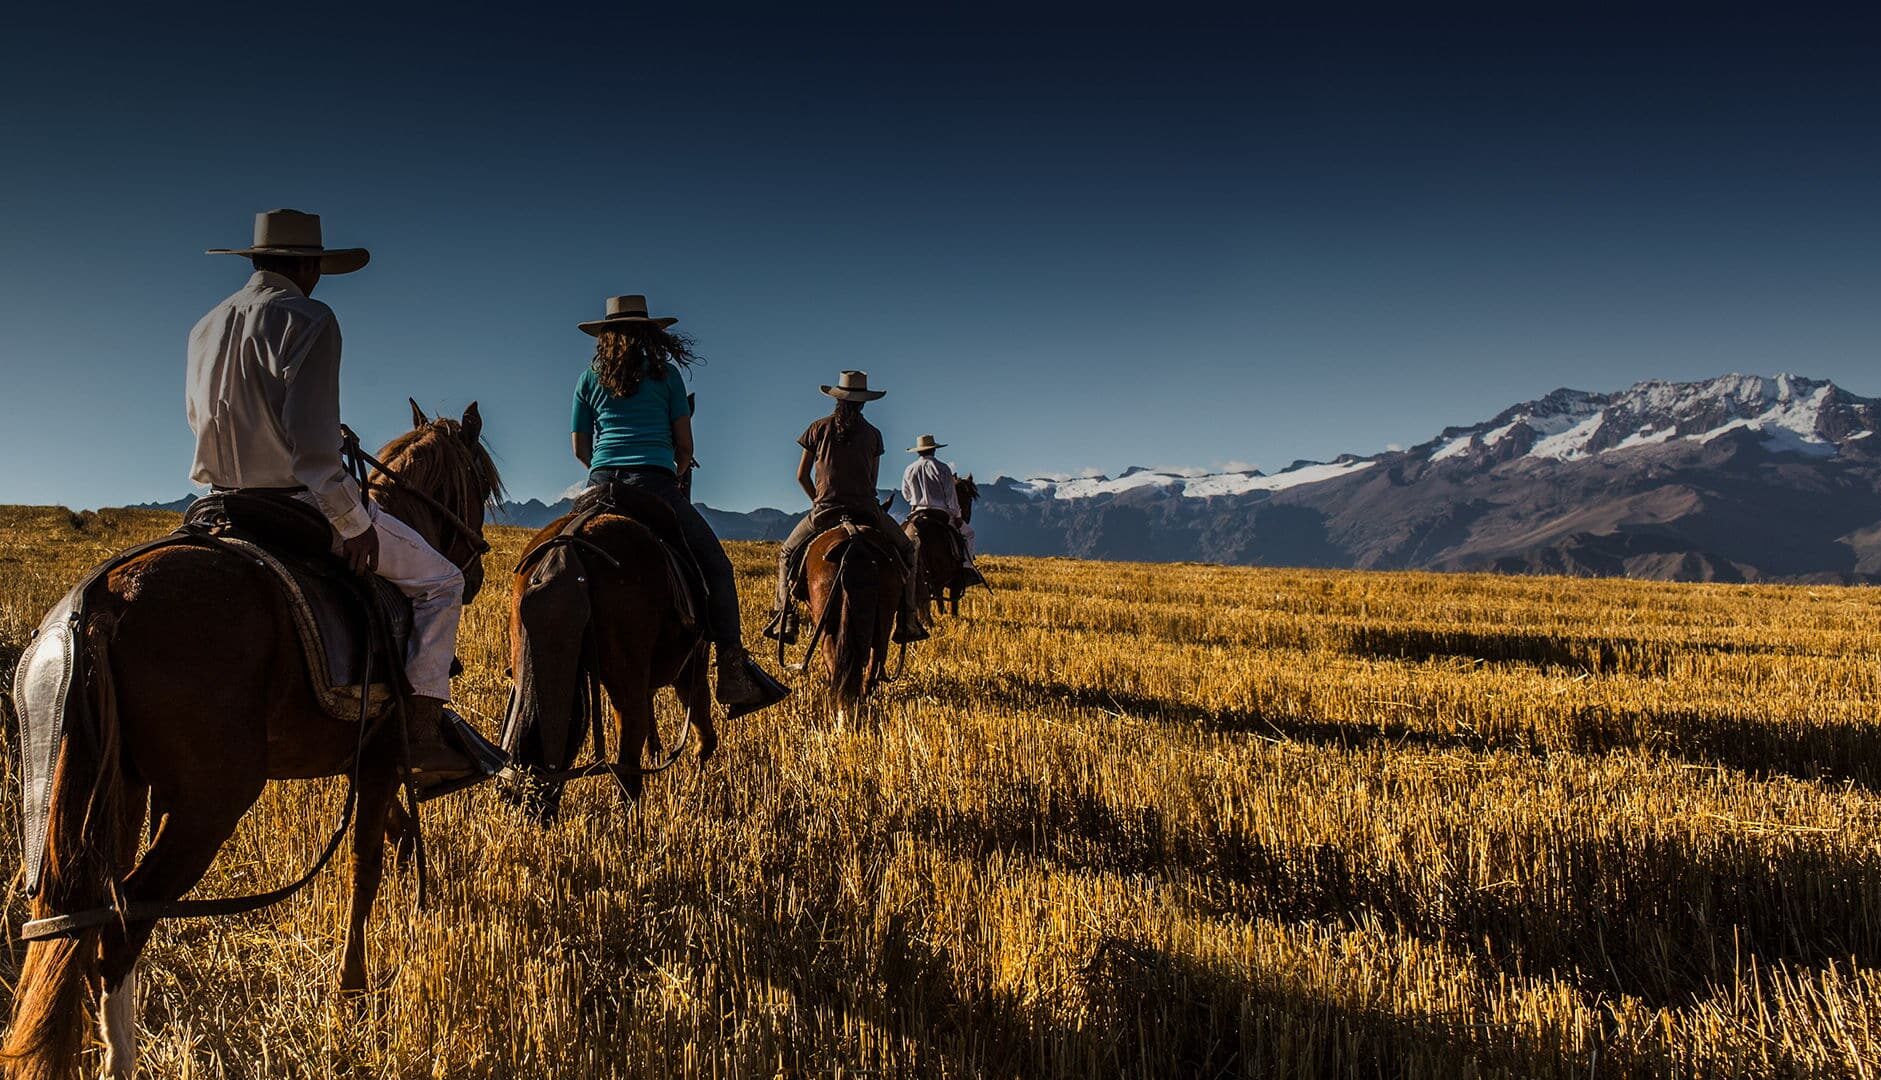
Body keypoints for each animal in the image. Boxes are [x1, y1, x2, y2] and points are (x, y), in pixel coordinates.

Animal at [3, 404, 500, 1080]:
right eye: (482, 483)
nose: (475, 570)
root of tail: (102, 603)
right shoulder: (379, 755)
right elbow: (363, 863)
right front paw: (353, 988)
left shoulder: (363, 758)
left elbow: (392, 833)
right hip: (209, 806)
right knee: (123, 925)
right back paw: (121, 1057)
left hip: (113, 795)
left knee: (80, 919)